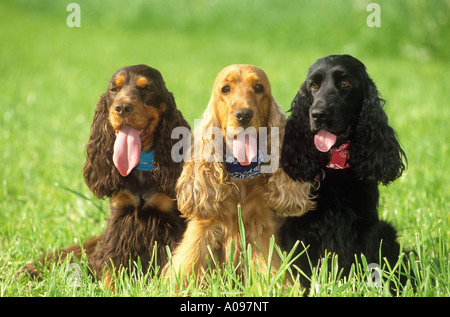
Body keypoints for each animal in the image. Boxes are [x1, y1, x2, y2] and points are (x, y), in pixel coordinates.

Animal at [280, 55, 406, 288]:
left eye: (345, 83)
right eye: (313, 85)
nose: (318, 115)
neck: (335, 163)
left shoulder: (366, 226)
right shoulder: (300, 229)